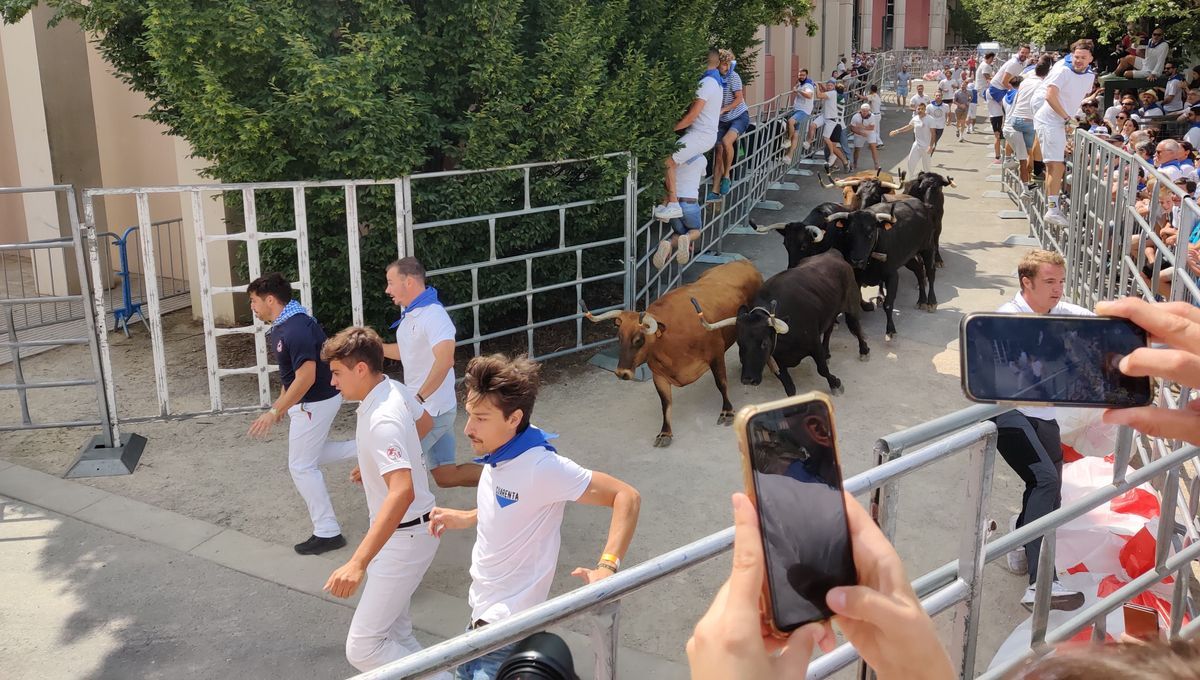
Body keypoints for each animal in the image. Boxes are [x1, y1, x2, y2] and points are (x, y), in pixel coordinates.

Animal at [580, 259, 758, 446]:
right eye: (619, 337)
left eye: (639, 340)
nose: (622, 373)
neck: (670, 342)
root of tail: (742, 262)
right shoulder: (658, 374)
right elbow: (665, 403)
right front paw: (665, 433)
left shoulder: (716, 354)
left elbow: (721, 383)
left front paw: (727, 411)